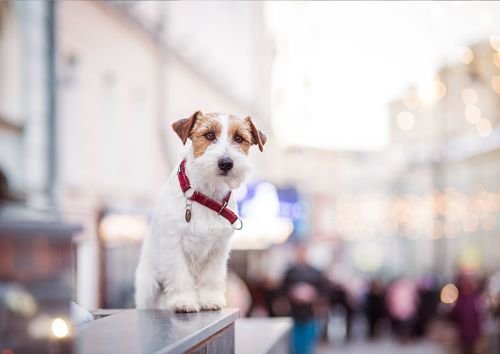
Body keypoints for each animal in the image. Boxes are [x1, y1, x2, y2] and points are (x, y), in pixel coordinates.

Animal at [133, 111, 266, 312]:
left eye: (239, 138)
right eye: (209, 135)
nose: (226, 163)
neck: (206, 195)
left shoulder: (218, 249)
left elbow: (212, 277)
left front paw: (210, 300)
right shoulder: (174, 244)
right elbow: (179, 275)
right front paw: (183, 301)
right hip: (147, 288)